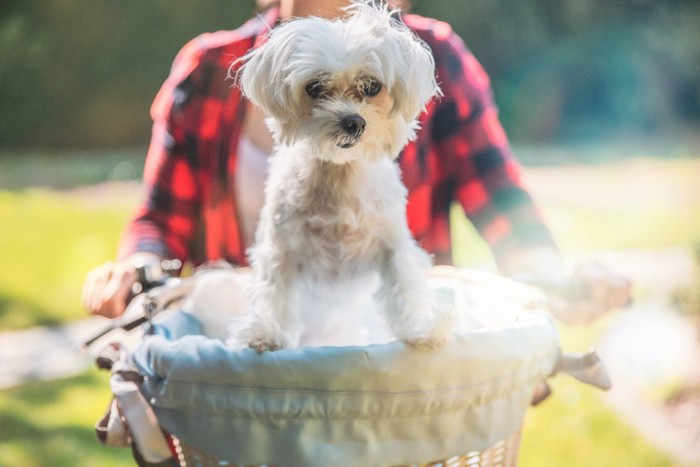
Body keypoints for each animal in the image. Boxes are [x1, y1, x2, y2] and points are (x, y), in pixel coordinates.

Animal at [191, 0, 454, 352]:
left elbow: (404, 284)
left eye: (372, 86)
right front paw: (266, 335)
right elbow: (275, 292)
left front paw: (420, 331)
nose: (353, 122)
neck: (339, 173)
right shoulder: (281, 249)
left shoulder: (392, 245)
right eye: (314, 88)